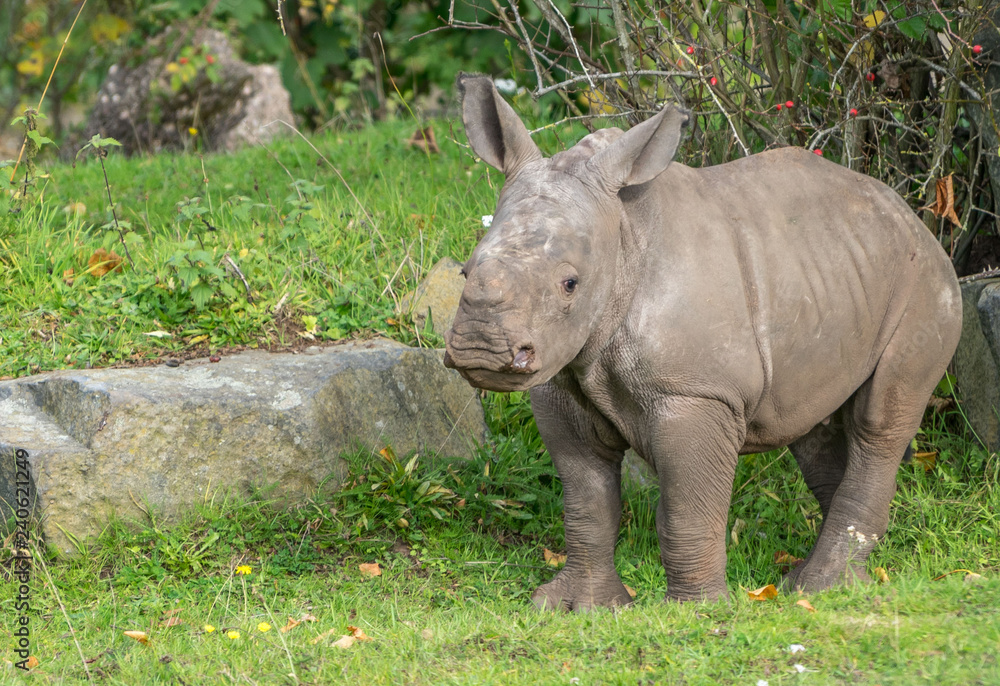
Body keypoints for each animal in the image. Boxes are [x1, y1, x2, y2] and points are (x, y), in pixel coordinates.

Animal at [443, 74, 963, 609]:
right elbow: (587, 505)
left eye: (570, 284)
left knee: (879, 420)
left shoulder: (695, 392)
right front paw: (577, 607)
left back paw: (822, 585)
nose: (480, 348)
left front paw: (696, 610)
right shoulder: (561, 381)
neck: (622, 237)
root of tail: (910, 213)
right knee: (812, 425)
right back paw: (814, 580)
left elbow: (686, 512)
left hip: (926, 282)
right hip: (835, 268)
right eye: (465, 271)